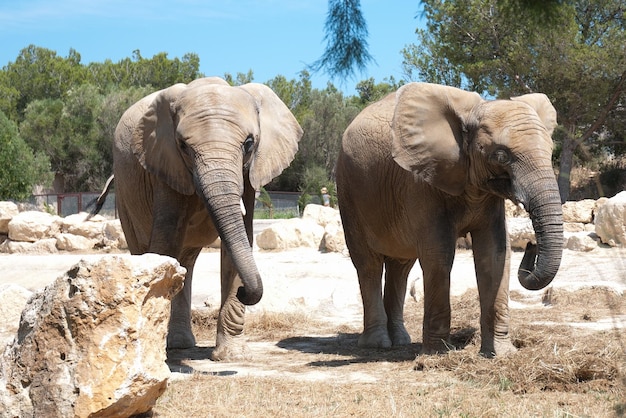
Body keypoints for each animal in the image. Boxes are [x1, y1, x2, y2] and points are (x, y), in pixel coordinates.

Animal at [101, 76, 302, 360]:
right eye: (183, 146)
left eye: (249, 143)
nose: (244, 292)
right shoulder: (165, 165)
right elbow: (165, 243)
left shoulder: (249, 174)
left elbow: (238, 244)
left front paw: (232, 356)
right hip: (125, 193)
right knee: (144, 250)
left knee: (186, 261)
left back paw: (181, 344)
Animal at [334, 83, 564, 358]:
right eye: (501, 156)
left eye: (550, 151)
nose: (531, 245)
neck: (472, 112)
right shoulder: (421, 183)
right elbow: (439, 253)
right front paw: (438, 354)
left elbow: (495, 252)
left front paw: (500, 354)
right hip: (348, 192)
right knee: (368, 264)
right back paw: (377, 344)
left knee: (401, 267)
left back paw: (400, 340)